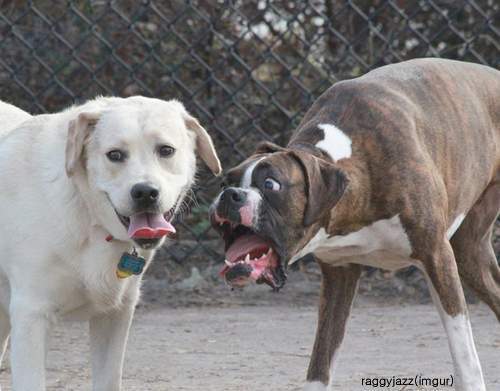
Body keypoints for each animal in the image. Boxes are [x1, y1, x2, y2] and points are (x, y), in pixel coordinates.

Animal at [0, 96, 221, 390]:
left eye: (166, 150)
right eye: (115, 155)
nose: (145, 192)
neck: (90, 218)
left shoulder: (115, 316)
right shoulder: (31, 316)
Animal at [209, 59, 498, 391]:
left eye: (271, 184)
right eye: (226, 181)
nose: (230, 195)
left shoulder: (437, 257)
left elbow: (465, 354)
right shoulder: (338, 274)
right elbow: (320, 364)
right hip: (470, 255)